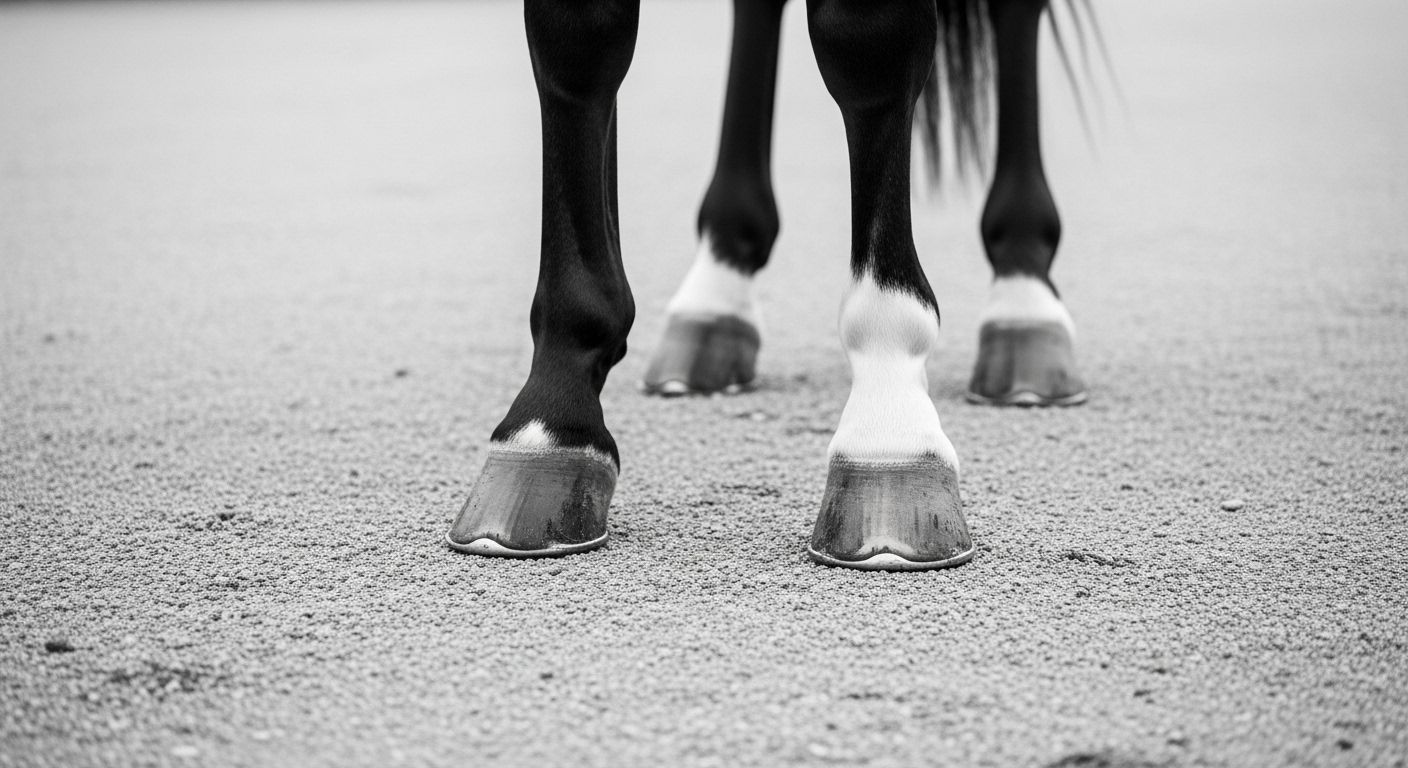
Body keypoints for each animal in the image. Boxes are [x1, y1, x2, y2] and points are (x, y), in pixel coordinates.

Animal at [446, 0, 1095, 570]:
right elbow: (577, 40)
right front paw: (548, 424)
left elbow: (870, 40)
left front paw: (888, 426)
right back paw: (716, 292)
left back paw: (1024, 302)